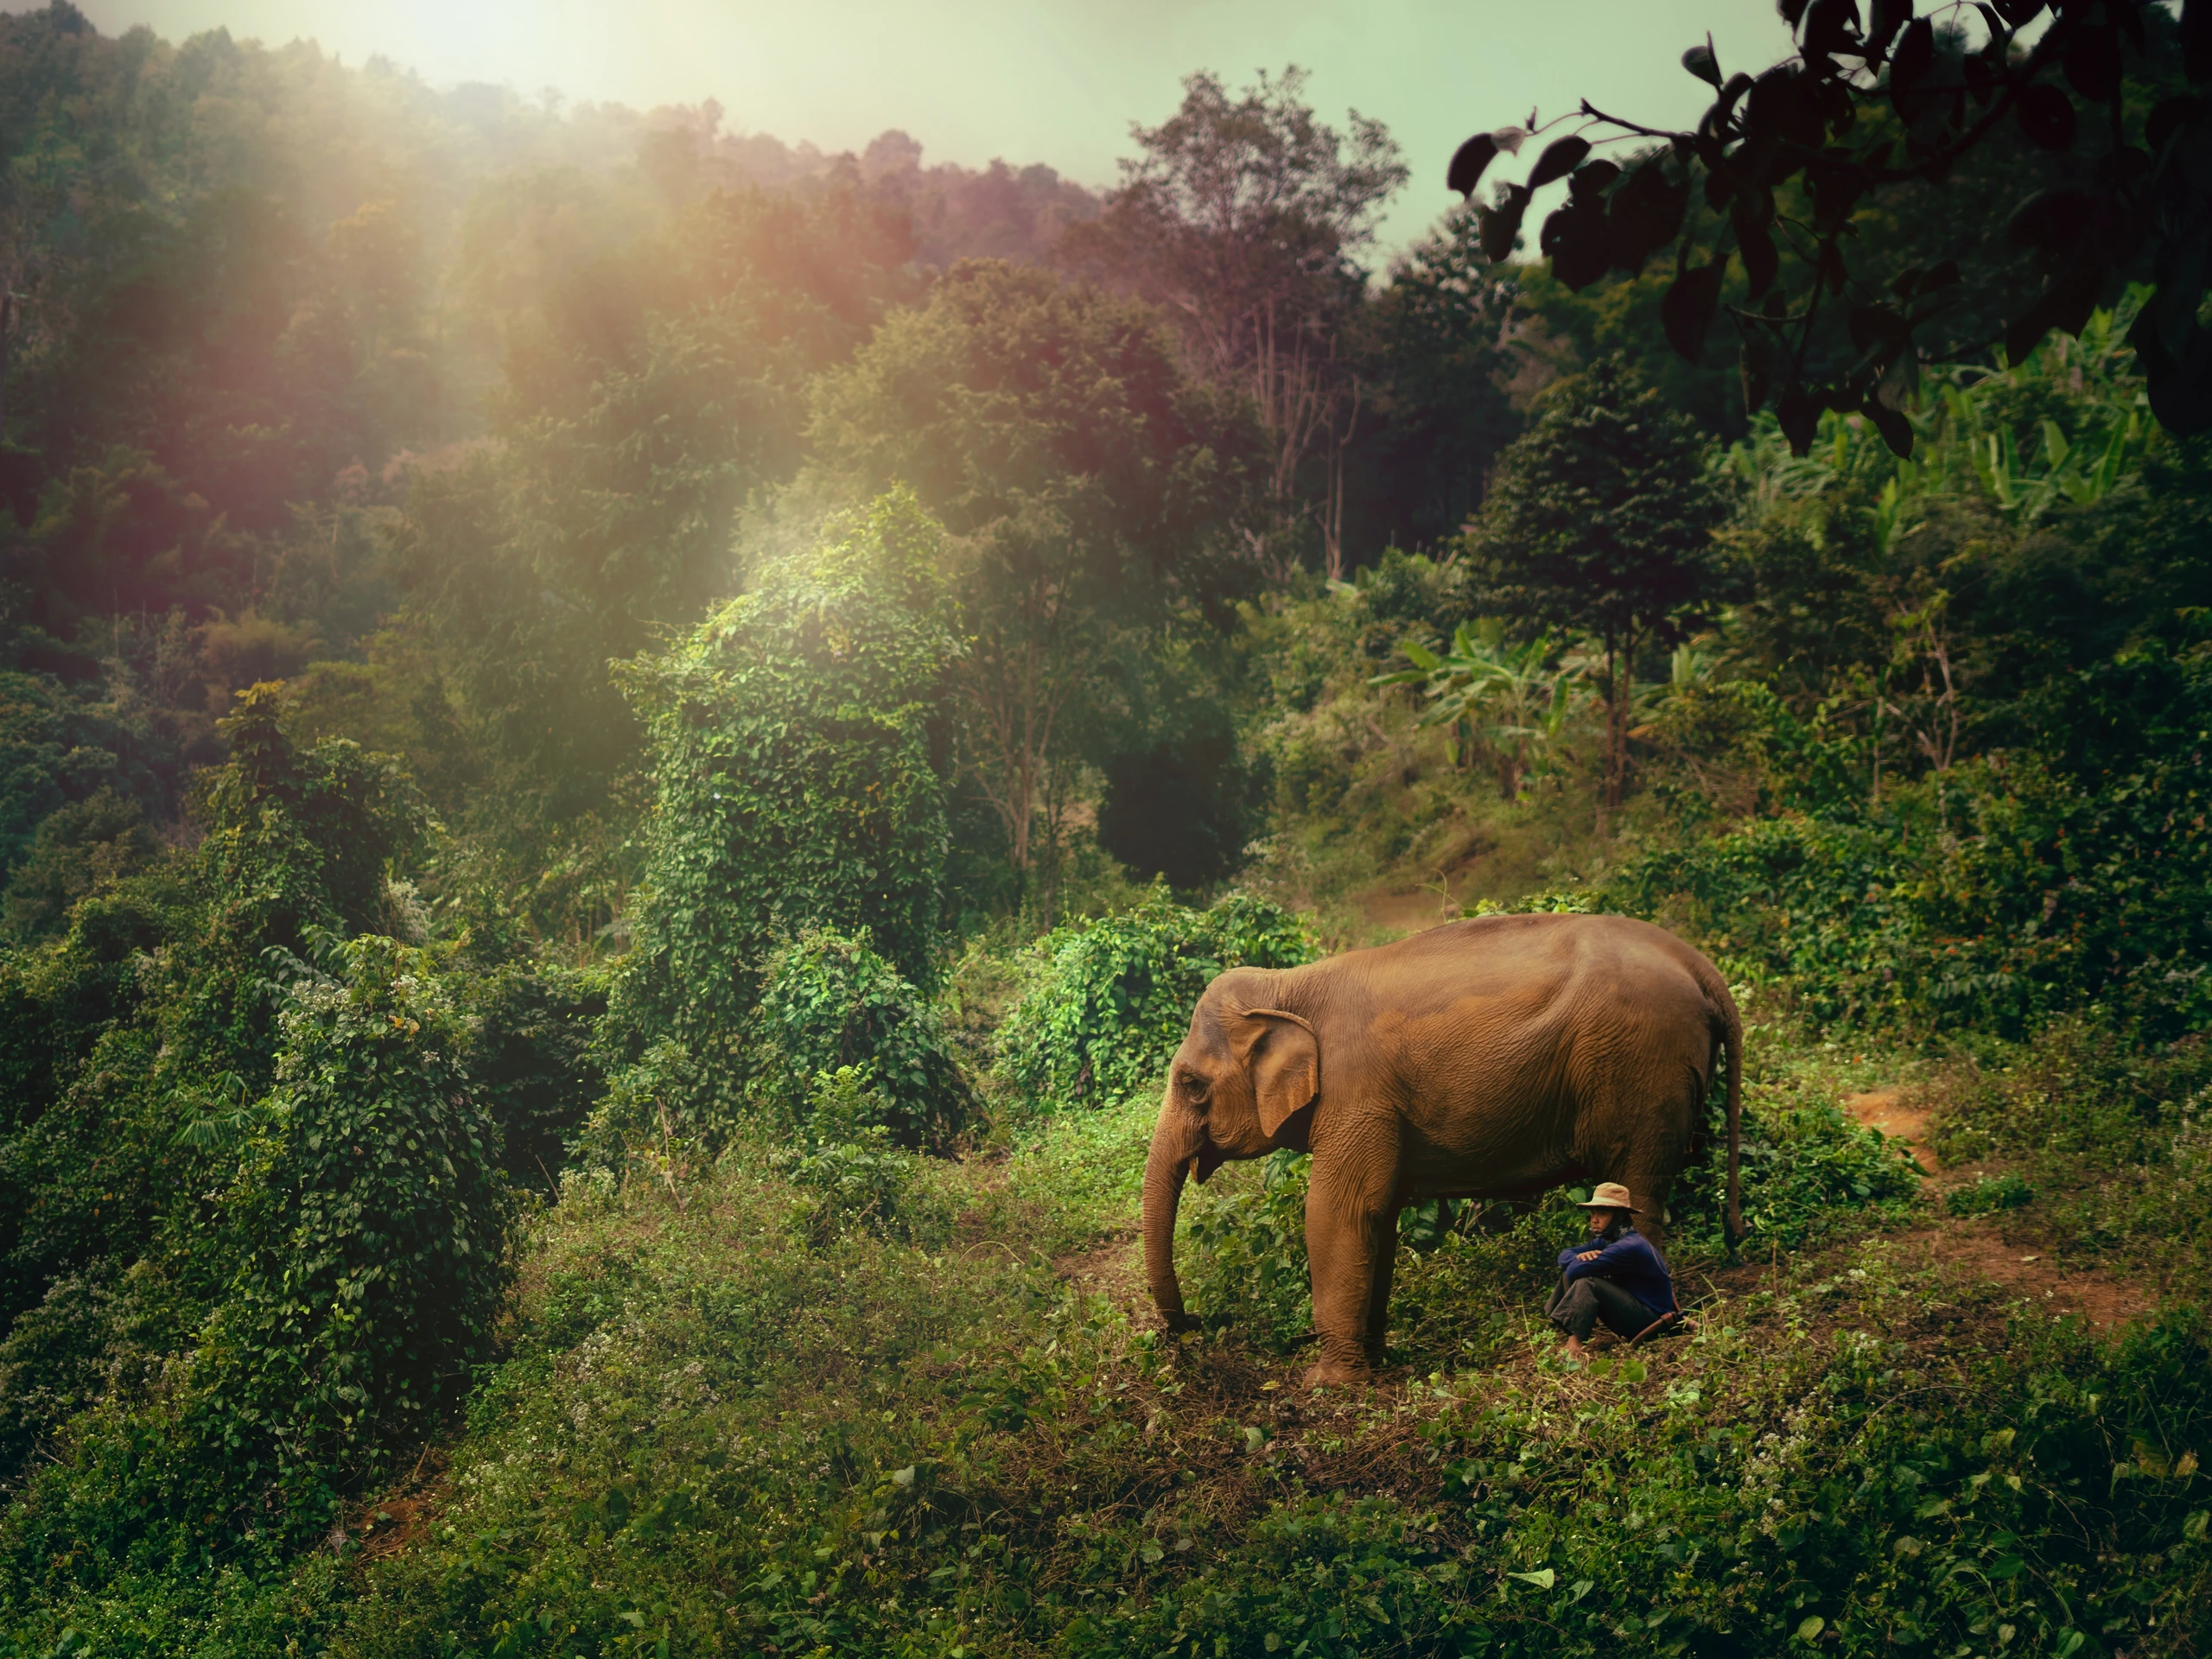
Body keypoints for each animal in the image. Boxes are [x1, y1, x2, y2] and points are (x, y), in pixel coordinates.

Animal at [1141, 911, 1742, 1388]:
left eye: (1191, 1084)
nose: (1192, 1326)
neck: (1289, 985)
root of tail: (1696, 961)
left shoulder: (1359, 1092)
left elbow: (1337, 1213)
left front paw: (1327, 1384)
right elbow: (1377, 1218)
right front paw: (1375, 1363)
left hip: (1643, 1067)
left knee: (1639, 1183)